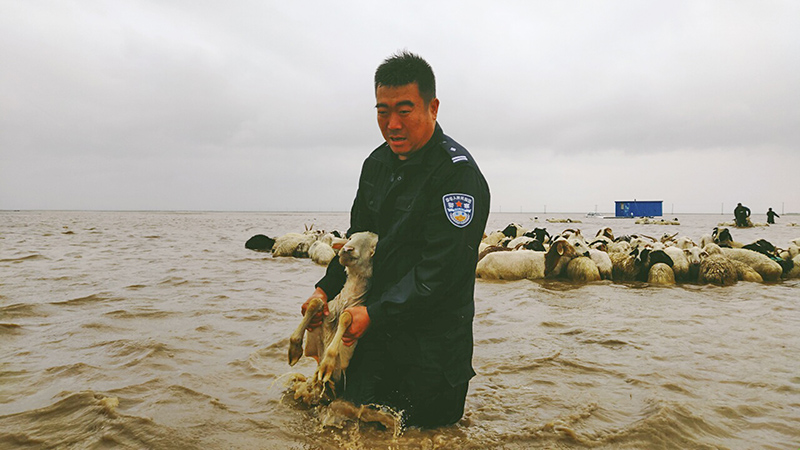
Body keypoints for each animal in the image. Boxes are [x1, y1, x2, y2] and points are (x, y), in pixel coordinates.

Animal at [288, 230, 378, 400]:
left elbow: (346, 317)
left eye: (374, 246)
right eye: (351, 237)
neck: (345, 300)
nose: (347, 249)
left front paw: (326, 366)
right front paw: (294, 349)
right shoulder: (327, 308)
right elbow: (315, 302)